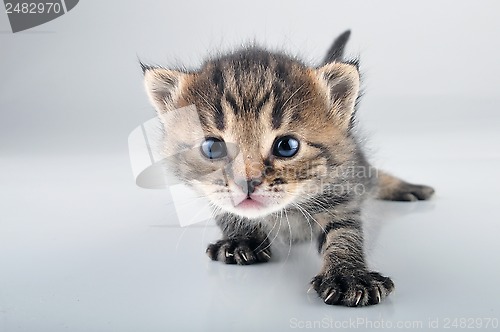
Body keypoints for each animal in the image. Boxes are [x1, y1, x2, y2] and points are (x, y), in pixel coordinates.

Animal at [140, 31, 434, 306]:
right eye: (213, 148)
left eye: (287, 146)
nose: (247, 182)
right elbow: (226, 210)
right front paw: (240, 238)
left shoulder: (342, 187)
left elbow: (344, 230)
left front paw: (348, 275)